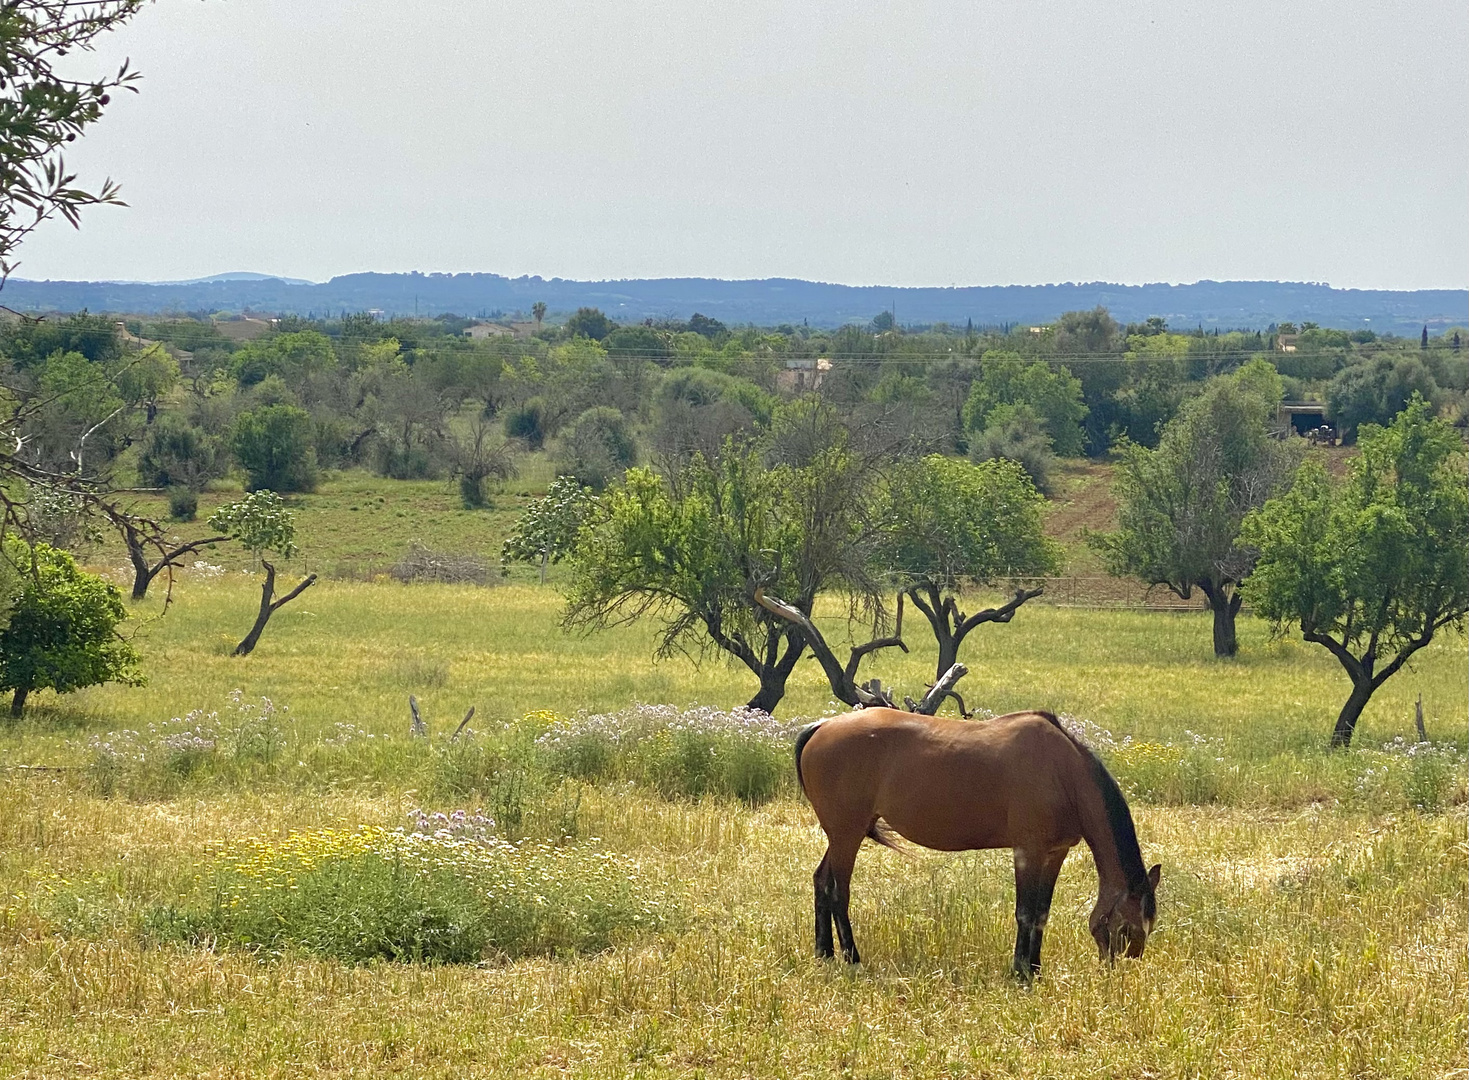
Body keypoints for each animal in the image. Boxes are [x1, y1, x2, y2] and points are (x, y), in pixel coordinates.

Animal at [793, 711, 1157, 981]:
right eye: (1126, 929)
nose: (1117, 972)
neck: (1064, 772)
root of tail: (822, 726)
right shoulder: (1028, 851)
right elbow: (1026, 912)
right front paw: (1021, 971)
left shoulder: (1055, 853)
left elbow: (1041, 913)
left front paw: (1036, 969)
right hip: (848, 833)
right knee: (839, 892)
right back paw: (852, 958)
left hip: (840, 834)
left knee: (821, 881)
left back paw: (824, 953)